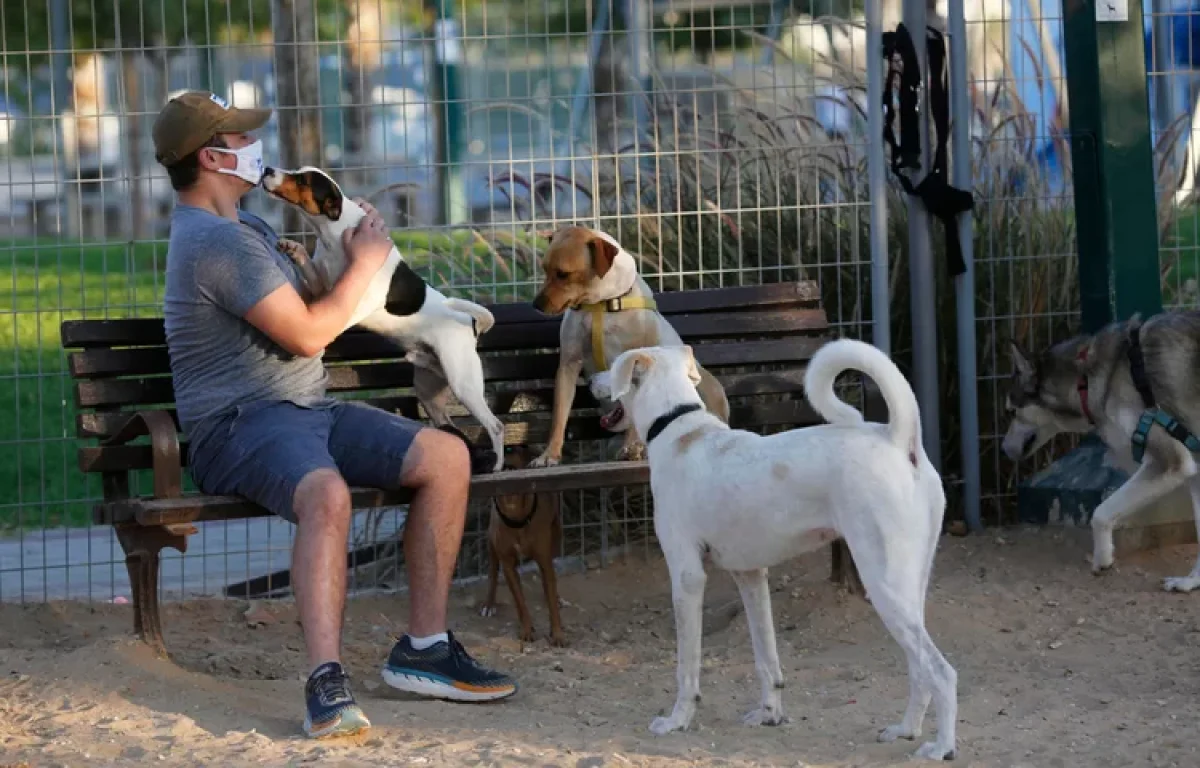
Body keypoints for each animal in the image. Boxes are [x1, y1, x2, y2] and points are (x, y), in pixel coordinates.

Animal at [262, 165, 506, 470]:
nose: (268, 169)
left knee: (496, 425)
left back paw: (497, 465)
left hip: (464, 383)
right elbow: (309, 267)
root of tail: (469, 324)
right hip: (430, 387)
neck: (334, 233)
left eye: (302, 180)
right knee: (447, 422)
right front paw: (293, 248)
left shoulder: (354, 300)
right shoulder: (322, 288)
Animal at [528, 225, 729, 468]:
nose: (535, 304)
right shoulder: (569, 364)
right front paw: (549, 454)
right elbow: (559, 416)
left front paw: (632, 447)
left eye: (563, 274)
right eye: (545, 270)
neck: (600, 303)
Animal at [595, 340, 960, 763]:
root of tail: (899, 440)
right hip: (909, 586)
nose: (591, 381)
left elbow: (687, 667)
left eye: (614, 363)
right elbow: (767, 659)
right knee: (919, 668)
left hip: (883, 584)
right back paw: (906, 729)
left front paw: (677, 721)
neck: (680, 429)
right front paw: (769, 714)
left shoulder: (687, 578)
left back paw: (942, 747)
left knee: (941, 671)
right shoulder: (751, 576)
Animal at [998, 309, 1200, 590]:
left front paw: (1102, 558)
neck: (1087, 379)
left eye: (1010, 411)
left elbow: (1100, 513)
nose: (1003, 449)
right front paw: (1190, 582)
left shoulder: (1169, 462)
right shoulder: (1194, 468)